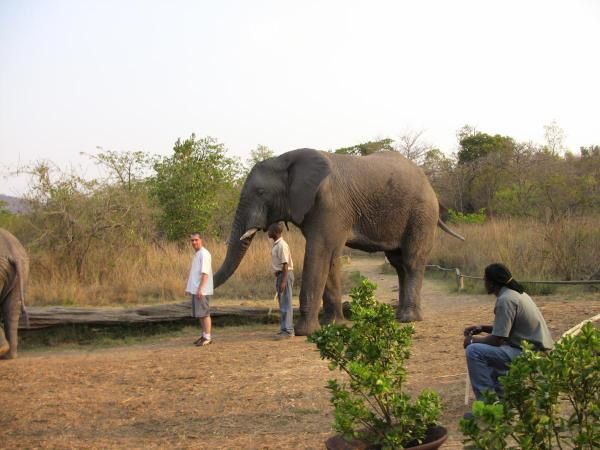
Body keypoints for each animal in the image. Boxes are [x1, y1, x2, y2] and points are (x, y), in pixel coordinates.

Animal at [216, 149, 464, 336]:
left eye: (260, 192)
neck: (286, 158)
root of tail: (430, 186)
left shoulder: (330, 205)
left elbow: (319, 253)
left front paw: (305, 332)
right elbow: (331, 258)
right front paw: (333, 325)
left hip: (421, 214)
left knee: (411, 261)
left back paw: (407, 319)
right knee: (398, 263)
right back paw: (400, 316)